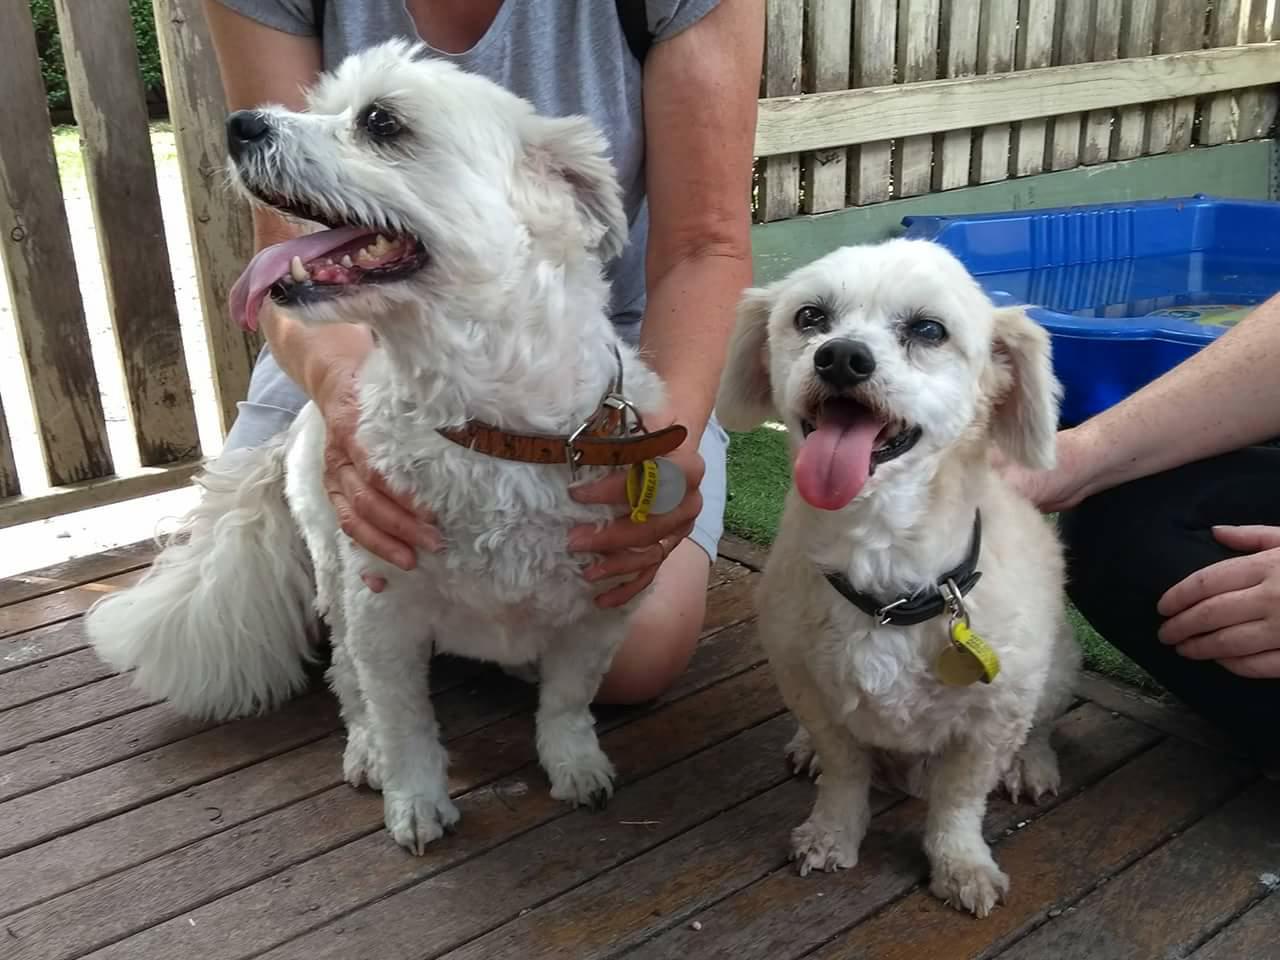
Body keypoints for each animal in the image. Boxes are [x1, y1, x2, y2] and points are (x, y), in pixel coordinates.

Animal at [715, 238, 1081, 917]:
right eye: (810, 318)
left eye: (929, 330)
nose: (842, 357)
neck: (883, 566)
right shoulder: (810, 688)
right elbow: (844, 773)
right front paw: (832, 833)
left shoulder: (994, 718)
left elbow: (960, 802)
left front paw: (961, 864)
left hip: (1058, 667)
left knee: (1041, 726)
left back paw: (1032, 764)